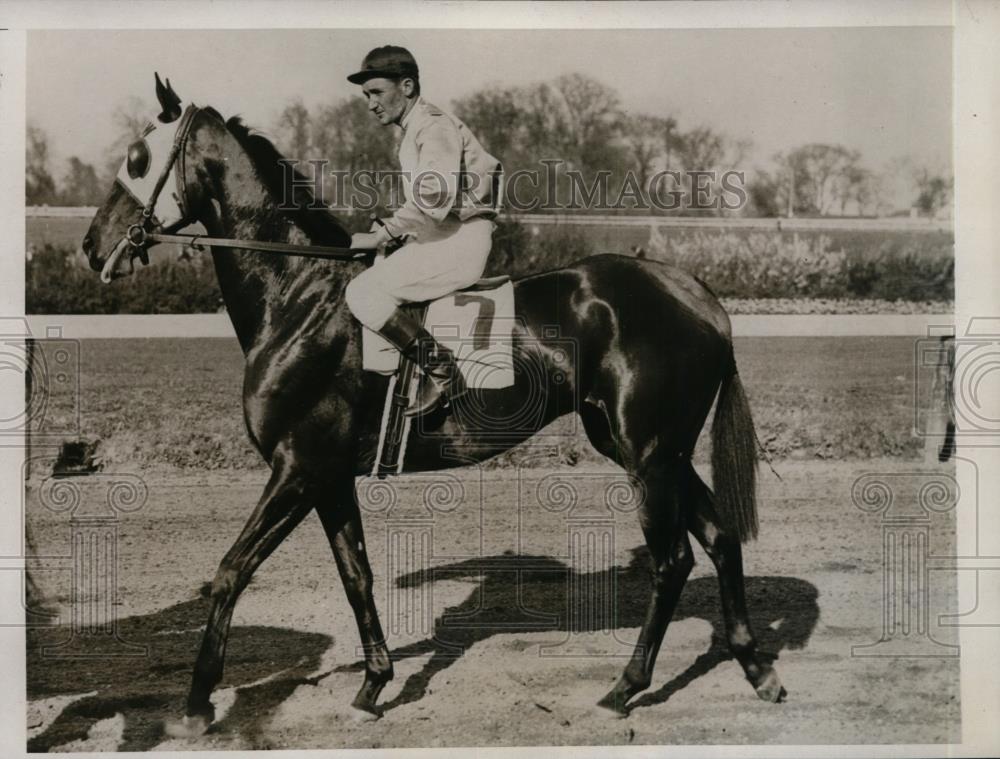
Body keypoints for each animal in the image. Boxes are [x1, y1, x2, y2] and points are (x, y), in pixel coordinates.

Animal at [82, 78, 784, 736]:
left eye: (137, 156)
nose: (92, 246)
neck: (300, 298)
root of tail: (694, 293)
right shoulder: (328, 477)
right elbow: (356, 575)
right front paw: (372, 685)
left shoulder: (297, 467)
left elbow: (231, 571)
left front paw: (197, 704)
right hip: (657, 450)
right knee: (720, 539)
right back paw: (756, 668)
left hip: (647, 454)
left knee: (673, 561)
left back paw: (625, 687)